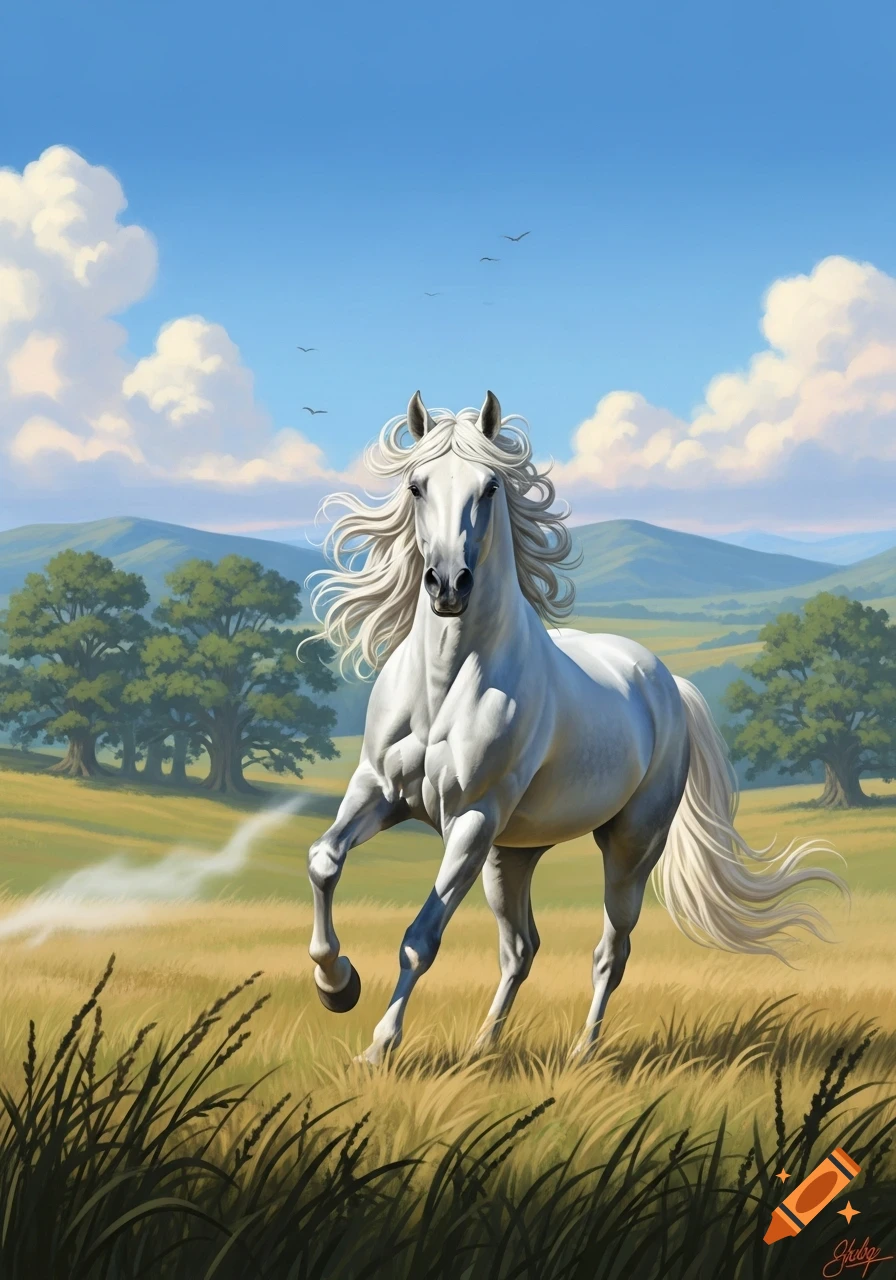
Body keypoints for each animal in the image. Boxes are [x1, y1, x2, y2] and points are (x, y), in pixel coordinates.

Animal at [302, 390, 845, 1066]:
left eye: (489, 487)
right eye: (416, 485)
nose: (448, 585)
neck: (444, 686)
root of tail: (666, 682)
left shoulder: (472, 820)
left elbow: (420, 938)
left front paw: (378, 1048)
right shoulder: (376, 790)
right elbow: (324, 861)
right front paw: (336, 984)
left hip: (627, 849)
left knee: (611, 950)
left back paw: (584, 1054)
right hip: (512, 853)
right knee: (521, 948)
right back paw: (483, 1047)